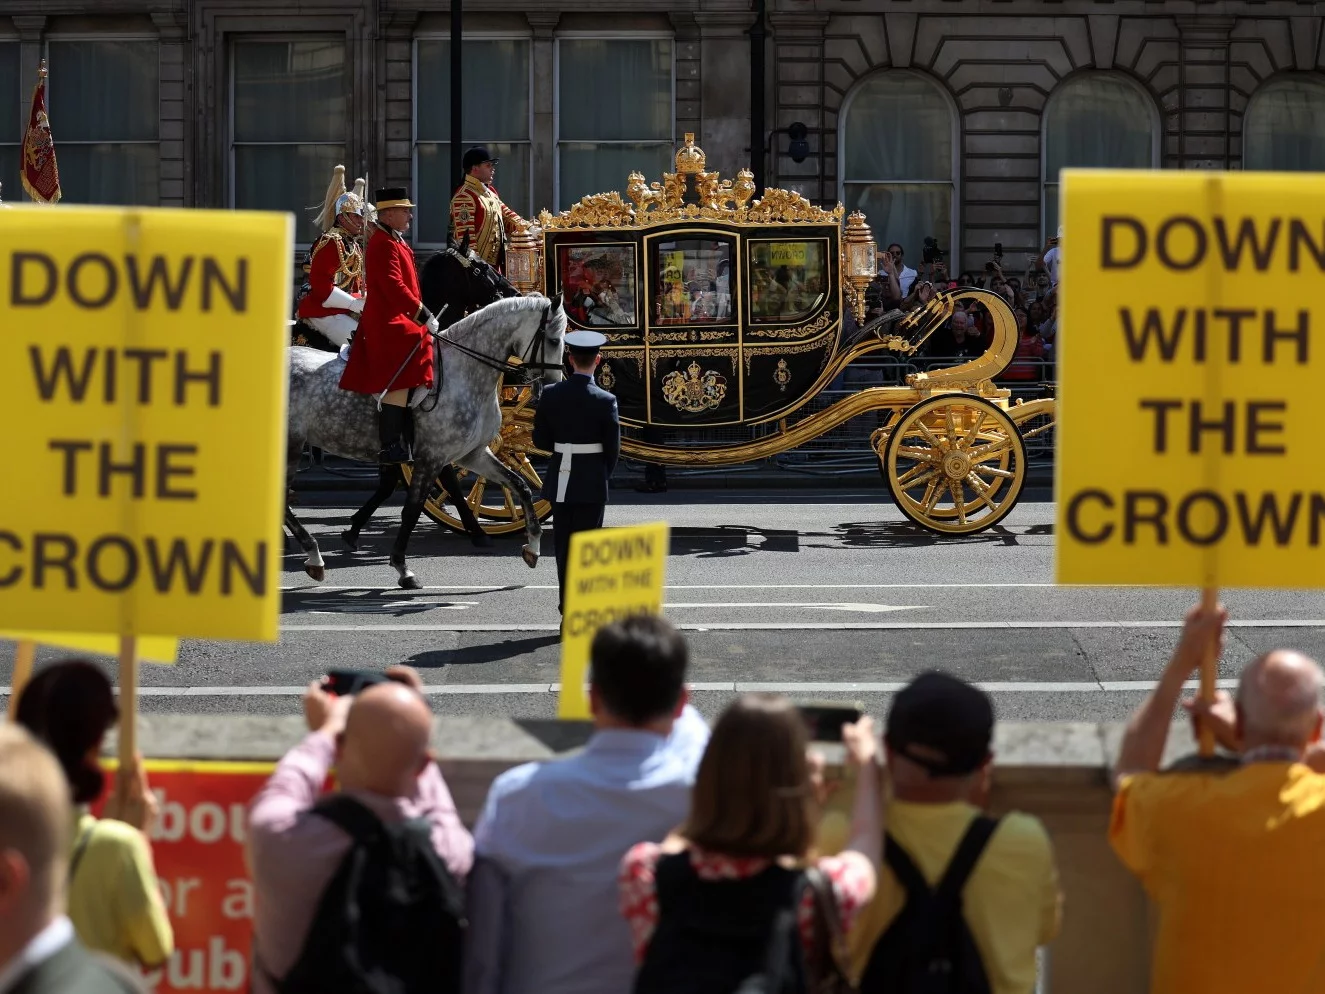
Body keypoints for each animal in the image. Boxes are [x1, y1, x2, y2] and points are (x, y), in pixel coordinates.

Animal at [284, 295, 564, 591]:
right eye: (554, 340)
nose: (552, 386)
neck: (463, 373)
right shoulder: (431, 457)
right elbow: (412, 509)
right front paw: (402, 567)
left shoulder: (473, 454)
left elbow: (520, 486)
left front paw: (532, 546)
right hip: (291, 444)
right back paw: (314, 555)